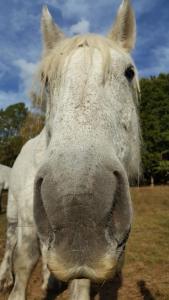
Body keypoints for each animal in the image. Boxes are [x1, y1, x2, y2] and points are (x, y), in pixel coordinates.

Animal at [0, 1, 141, 298]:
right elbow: (23, 265)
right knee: (9, 242)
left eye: (129, 72)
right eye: (46, 80)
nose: (79, 207)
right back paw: (4, 276)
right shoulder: (29, 231)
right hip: (15, 214)